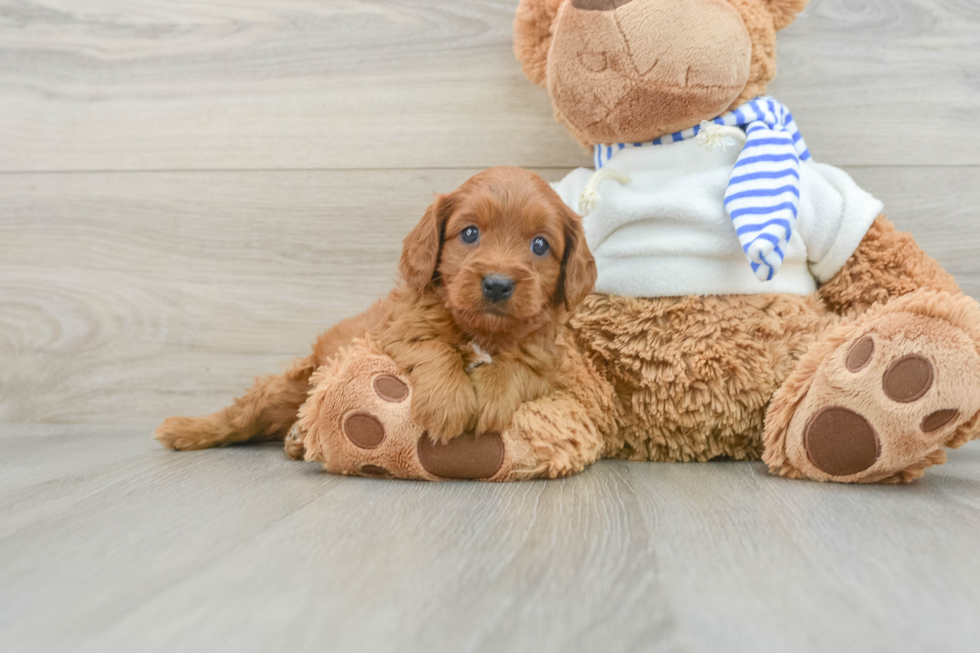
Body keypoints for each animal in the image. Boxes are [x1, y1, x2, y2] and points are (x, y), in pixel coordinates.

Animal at [157, 168, 592, 450]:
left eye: (540, 245)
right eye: (470, 233)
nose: (498, 284)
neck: (481, 331)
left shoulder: (544, 365)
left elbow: (516, 368)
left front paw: (493, 392)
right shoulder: (394, 331)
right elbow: (435, 348)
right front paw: (447, 404)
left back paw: (296, 438)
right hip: (288, 385)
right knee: (240, 416)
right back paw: (183, 429)